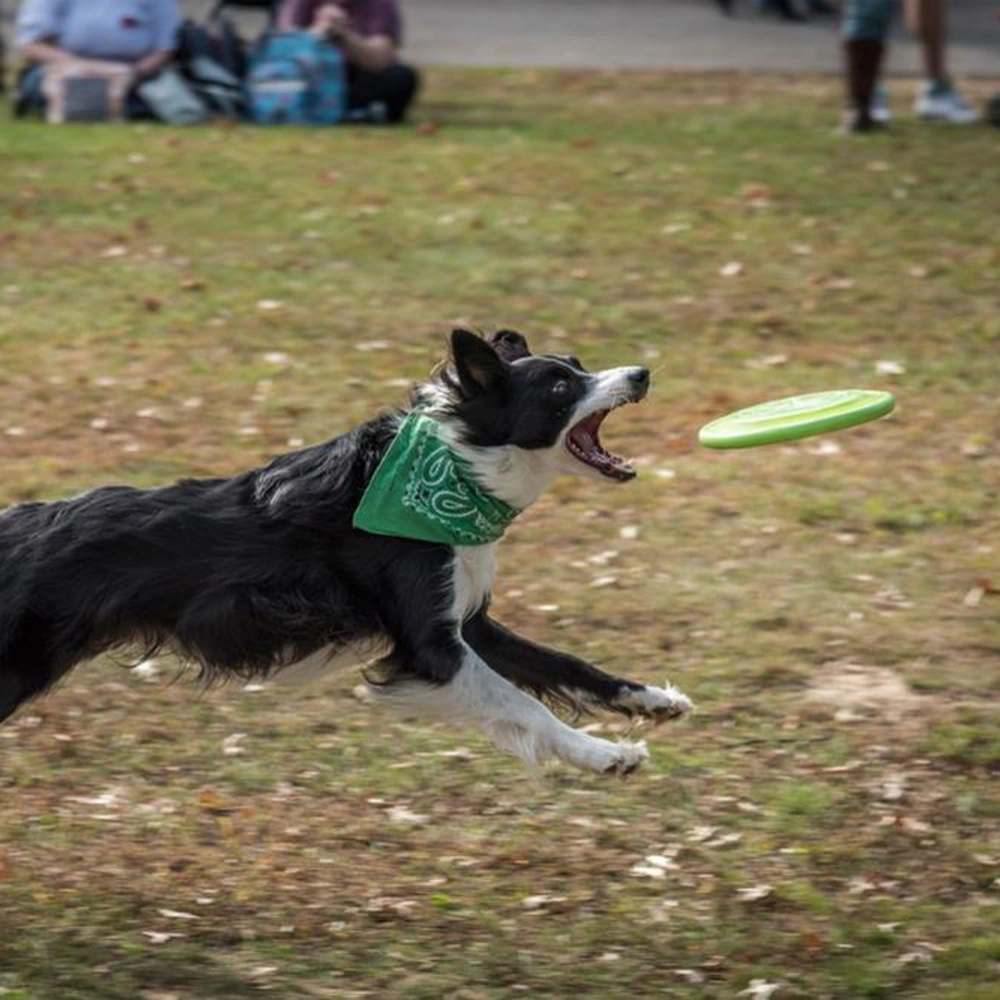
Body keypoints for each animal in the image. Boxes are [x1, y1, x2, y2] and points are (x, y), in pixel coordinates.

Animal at [0, 328, 688, 772]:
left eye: (578, 362)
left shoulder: (466, 622)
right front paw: (607, 755)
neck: (455, 469)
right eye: (559, 387)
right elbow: (522, 703)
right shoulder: (430, 649)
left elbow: (566, 666)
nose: (642, 374)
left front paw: (651, 701)